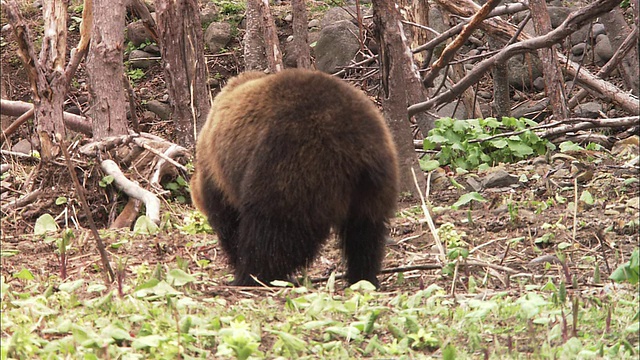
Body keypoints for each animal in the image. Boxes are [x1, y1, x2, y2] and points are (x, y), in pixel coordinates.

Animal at [190, 67, 398, 286]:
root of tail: (355, 149)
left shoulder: (220, 181)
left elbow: (230, 226)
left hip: (292, 166)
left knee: (272, 232)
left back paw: (251, 277)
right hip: (374, 183)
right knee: (365, 234)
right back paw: (363, 277)